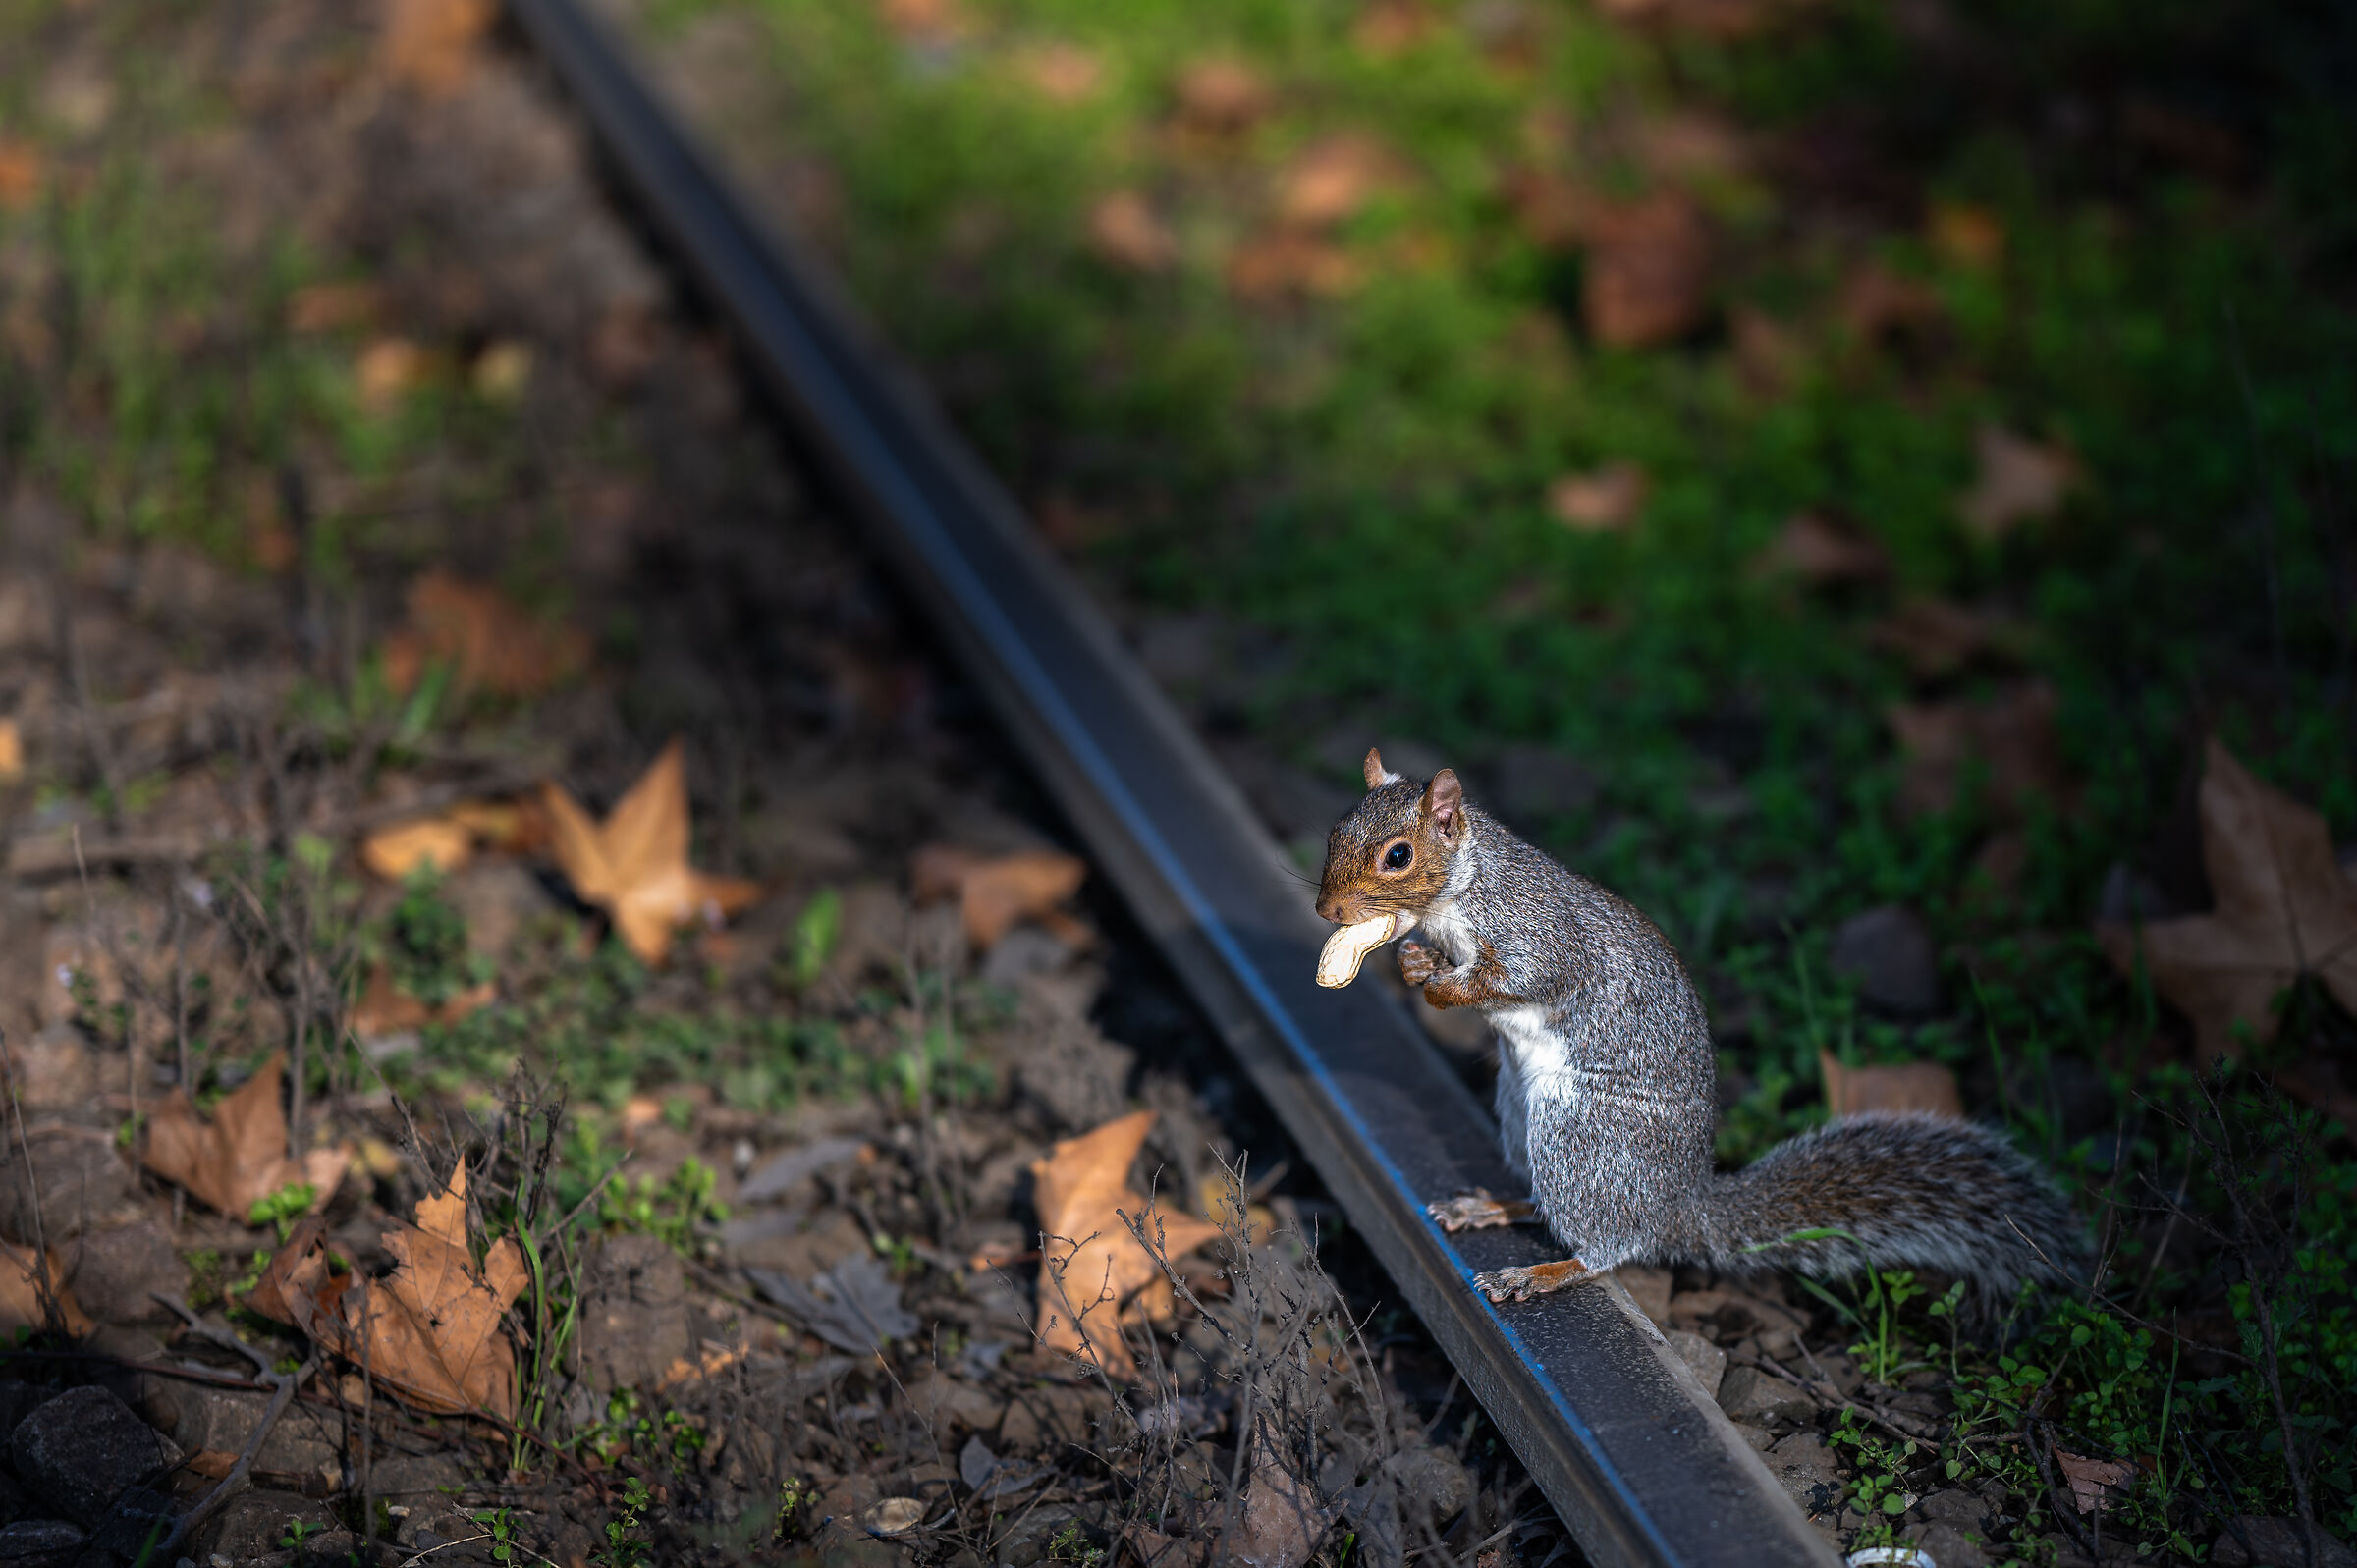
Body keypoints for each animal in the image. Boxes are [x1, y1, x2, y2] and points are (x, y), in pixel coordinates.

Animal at [1315, 749, 2084, 1312]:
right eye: (1333, 831)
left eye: (1397, 855)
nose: (1326, 909)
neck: (1462, 890)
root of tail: (1679, 1207)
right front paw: (1414, 964)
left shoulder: (1539, 933)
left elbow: (1528, 978)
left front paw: (1444, 987)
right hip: (1517, 1109)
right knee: (1542, 1198)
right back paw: (1489, 1206)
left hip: (1581, 1132)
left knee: (1611, 1244)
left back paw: (1544, 1273)